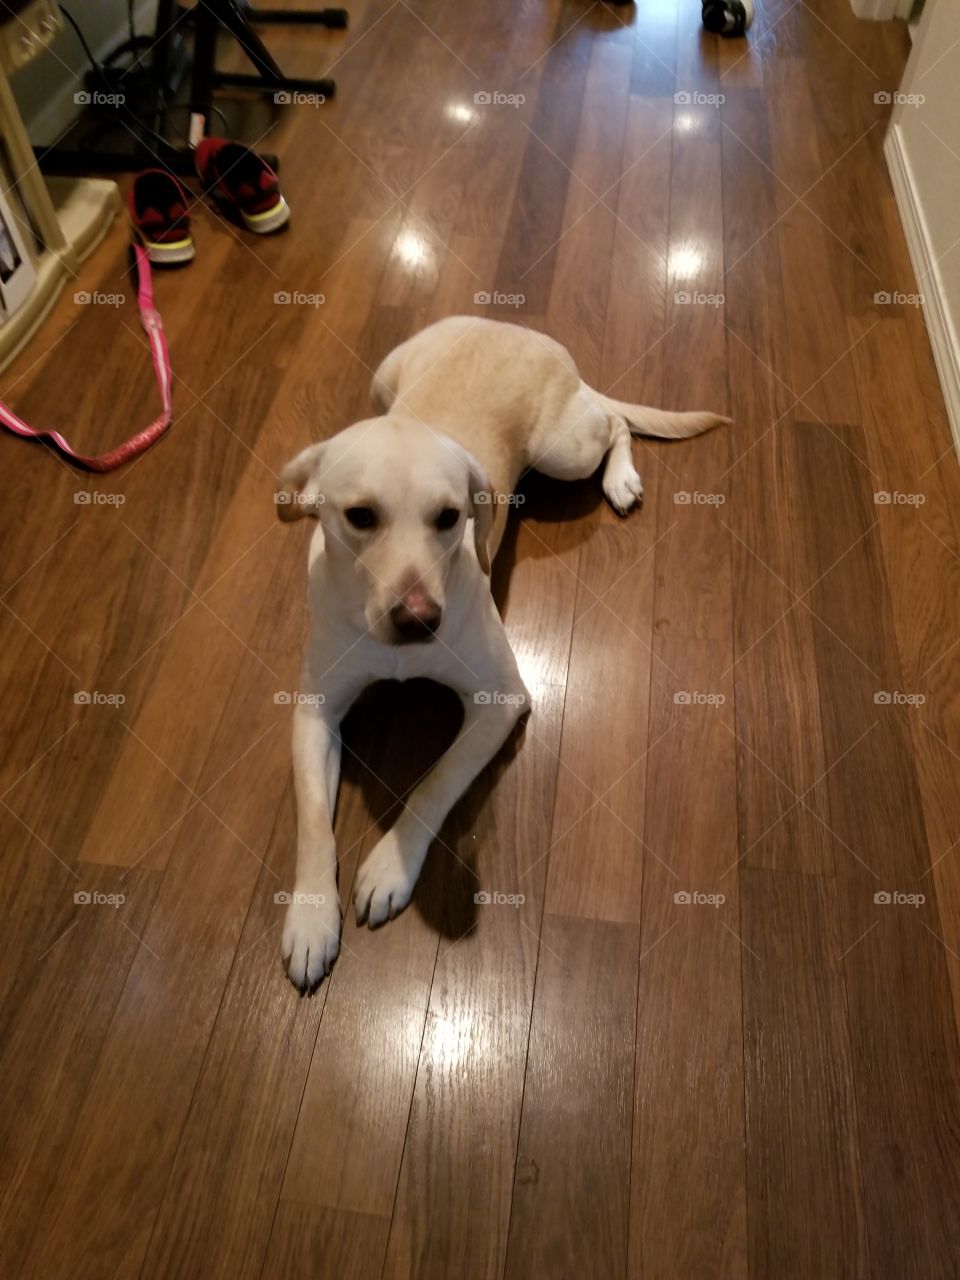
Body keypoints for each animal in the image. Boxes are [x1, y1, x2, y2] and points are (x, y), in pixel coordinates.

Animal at [273, 314, 727, 993]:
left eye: (449, 517)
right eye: (359, 516)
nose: (419, 619)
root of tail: (507, 323)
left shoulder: (500, 700)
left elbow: (435, 783)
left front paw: (389, 867)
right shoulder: (315, 711)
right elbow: (309, 823)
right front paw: (308, 919)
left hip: (565, 450)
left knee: (614, 424)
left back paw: (621, 478)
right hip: (384, 379)